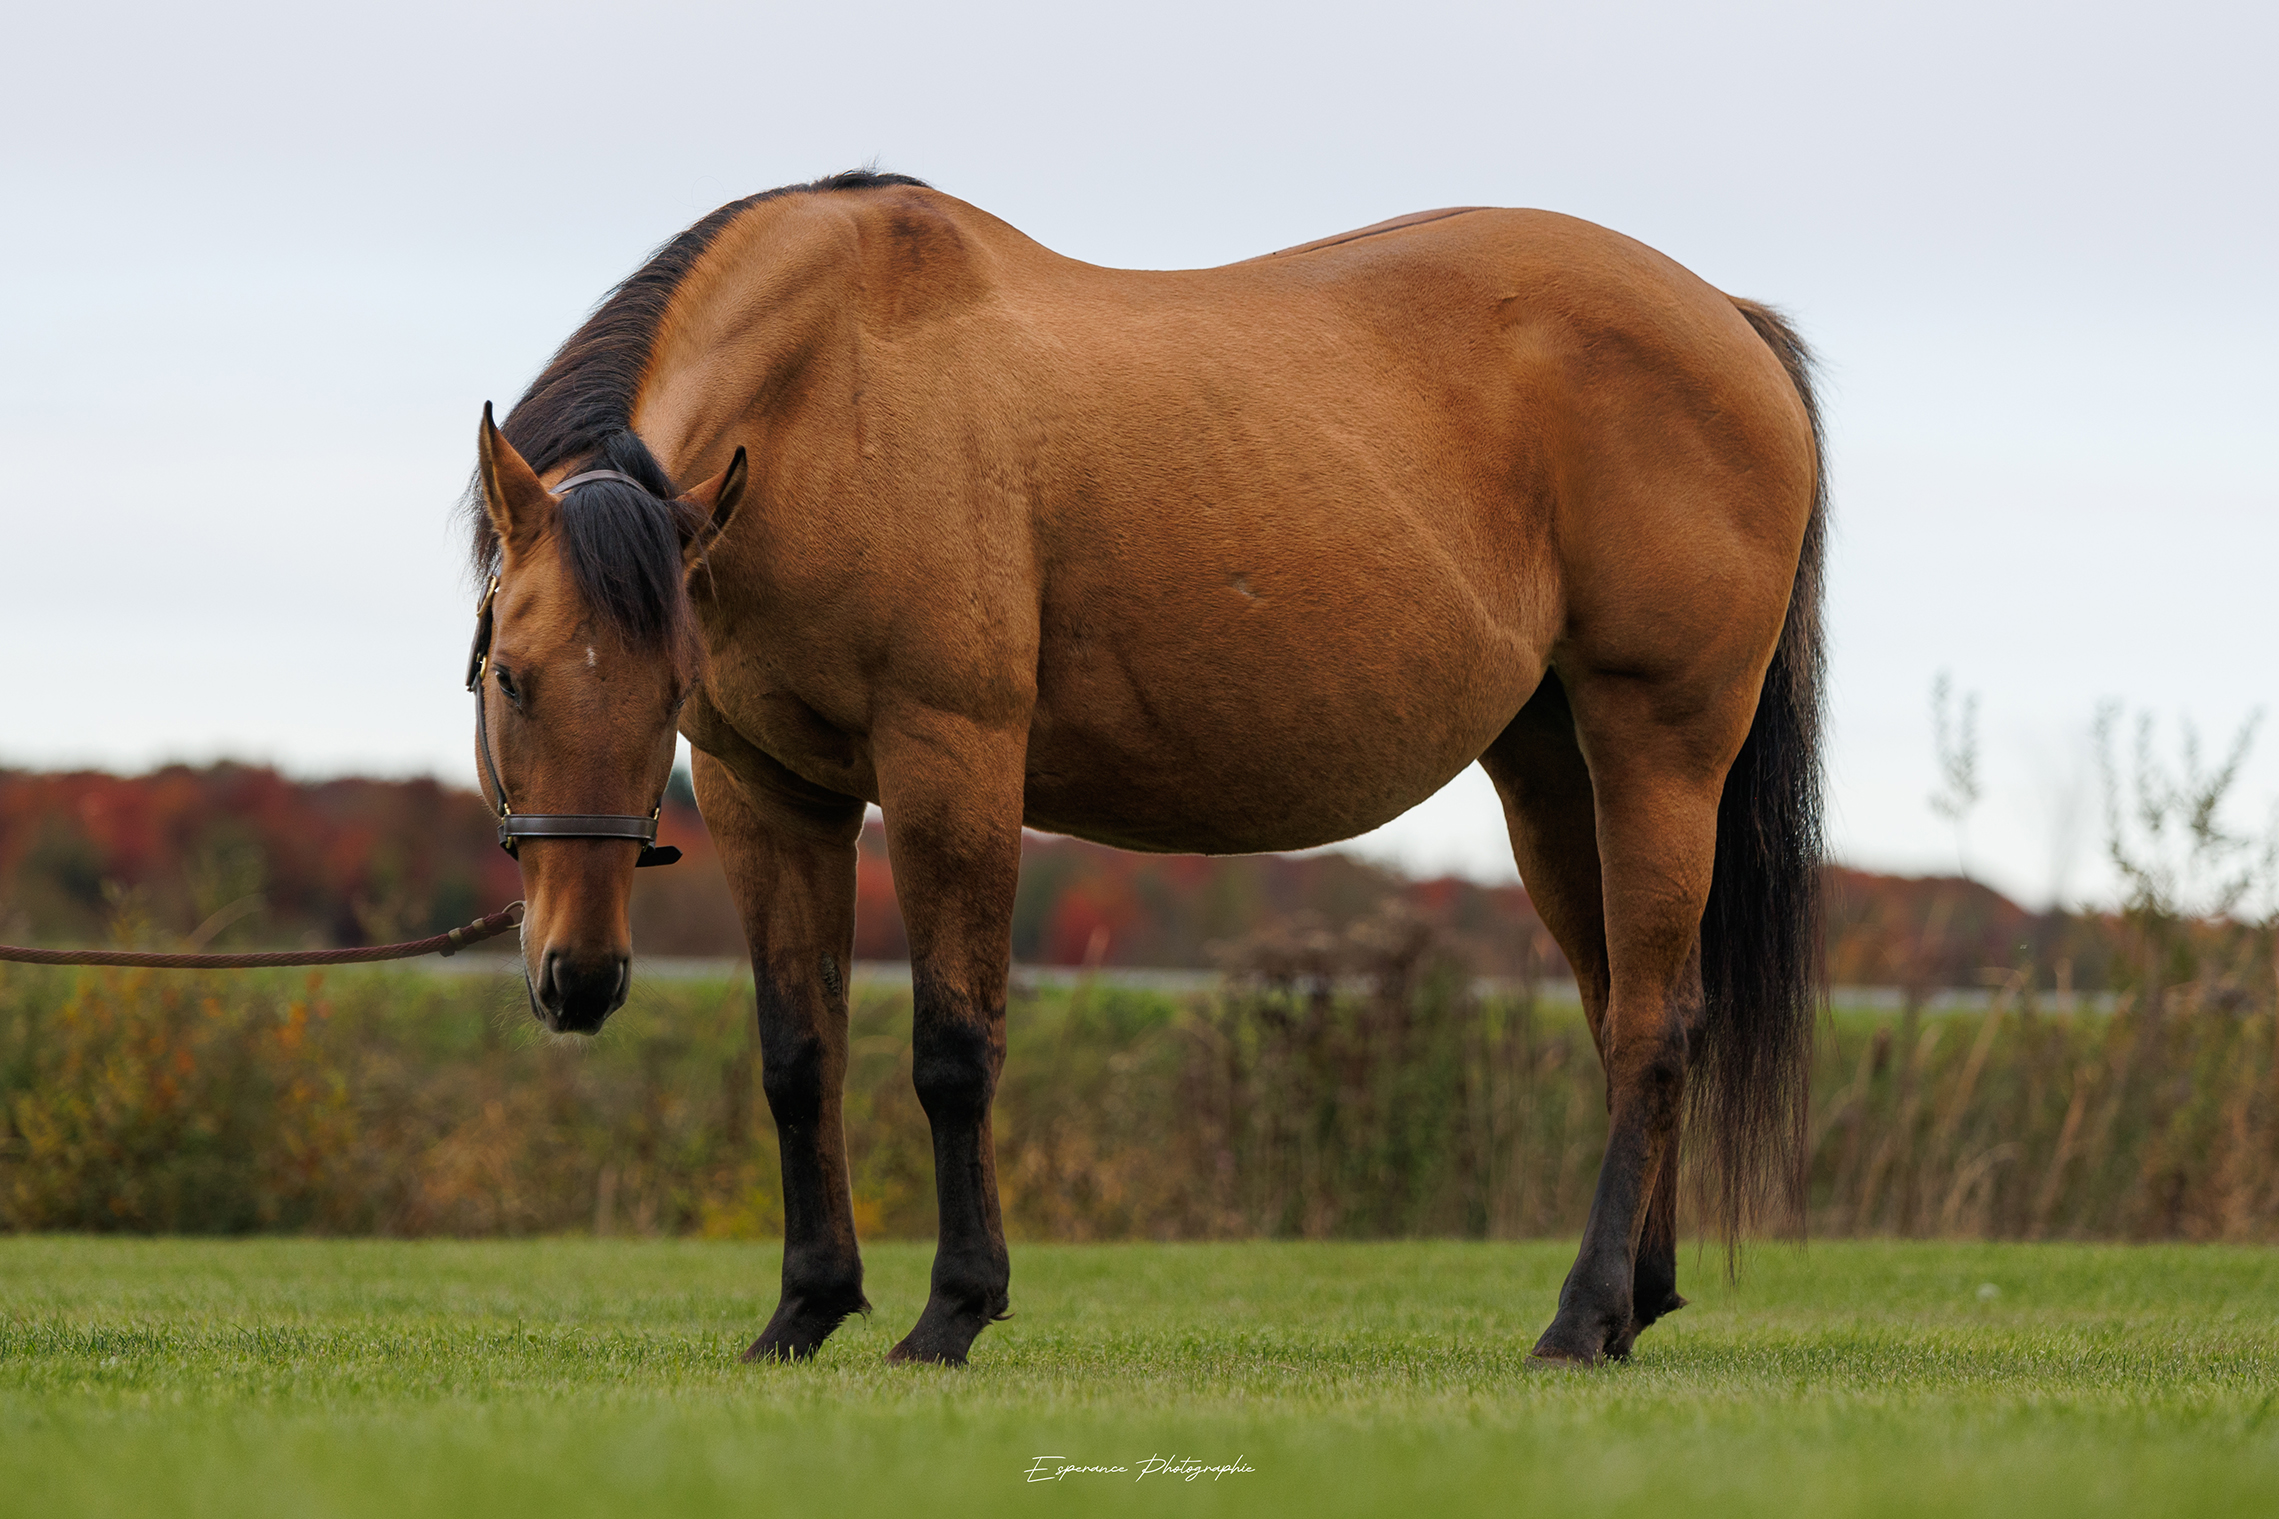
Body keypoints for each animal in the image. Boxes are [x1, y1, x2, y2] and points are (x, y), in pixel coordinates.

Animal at [464, 169, 1825, 1368]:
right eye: (509, 675)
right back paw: (1631, 1302)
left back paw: (1578, 1317)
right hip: (1549, 777)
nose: (575, 978)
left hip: (1657, 752)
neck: (832, 393)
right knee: (1617, 1014)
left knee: (1652, 1024)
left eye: (657, 685)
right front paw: (804, 1310)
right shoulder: (768, 794)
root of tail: (1727, 321)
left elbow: (953, 1050)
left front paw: (952, 1310)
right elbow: (800, 1057)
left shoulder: (950, 763)